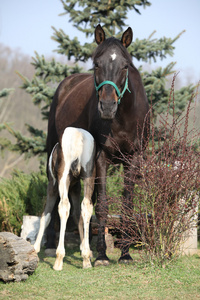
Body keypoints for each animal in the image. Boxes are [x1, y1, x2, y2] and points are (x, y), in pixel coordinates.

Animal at [34, 127, 95, 270]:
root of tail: (78, 136)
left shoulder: (52, 185)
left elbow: (46, 215)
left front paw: (34, 249)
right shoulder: (75, 187)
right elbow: (77, 214)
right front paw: (85, 253)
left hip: (63, 176)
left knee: (64, 206)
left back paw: (59, 259)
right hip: (88, 175)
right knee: (87, 207)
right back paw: (86, 259)